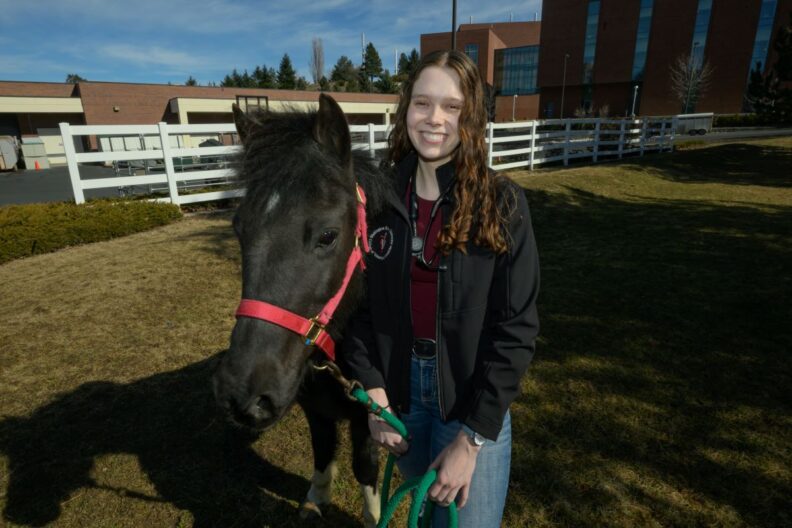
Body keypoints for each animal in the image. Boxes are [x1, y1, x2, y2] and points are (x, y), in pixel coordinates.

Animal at [212, 94, 393, 527]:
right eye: (239, 228)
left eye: (328, 235)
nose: (241, 394)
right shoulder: (314, 408)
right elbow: (322, 448)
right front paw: (317, 497)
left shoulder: (369, 416)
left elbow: (365, 466)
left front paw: (372, 515)